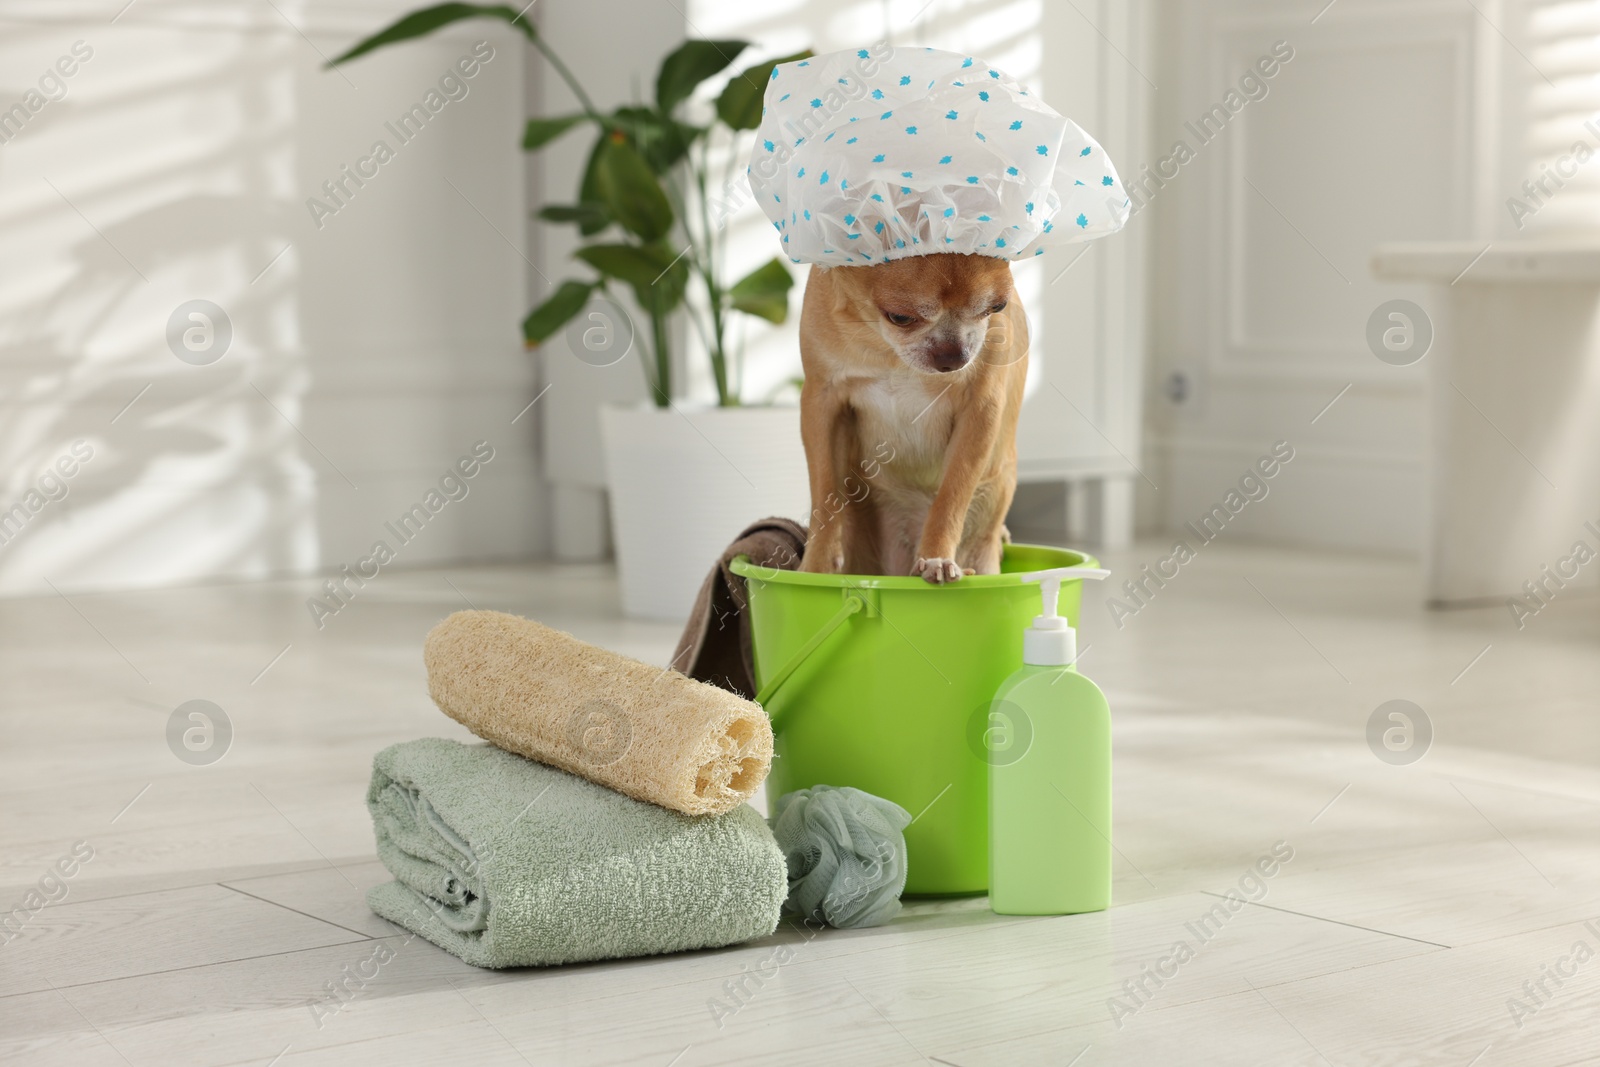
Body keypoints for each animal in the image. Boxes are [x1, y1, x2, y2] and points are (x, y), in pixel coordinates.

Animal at [796, 252, 1024, 585]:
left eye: (996, 308)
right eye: (900, 317)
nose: (954, 356)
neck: (886, 348)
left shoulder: (981, 411)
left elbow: (951, 497)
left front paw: (936, 557)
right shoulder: (822, 403)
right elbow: (824, 493)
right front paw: (815, 567)